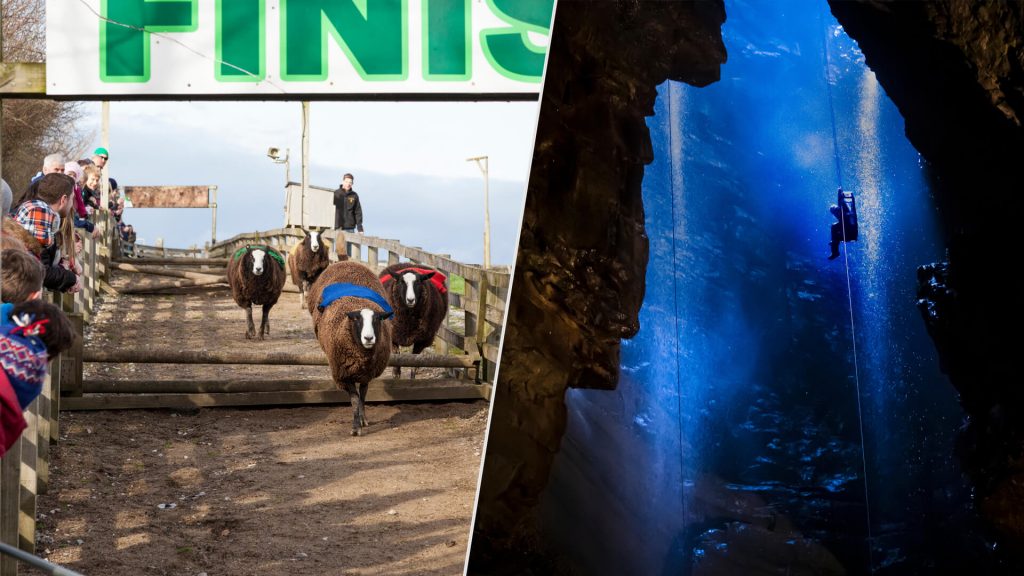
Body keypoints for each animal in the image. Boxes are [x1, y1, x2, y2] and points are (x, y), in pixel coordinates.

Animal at [303, 260, 391, 434]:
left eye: (377, 320)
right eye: (357, 319)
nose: (369, 338)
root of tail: (348, 262)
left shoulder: (367, 373)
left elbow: (362, 395)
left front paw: (363, 419)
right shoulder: (343, 374)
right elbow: (355, 399)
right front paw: (356, 427)